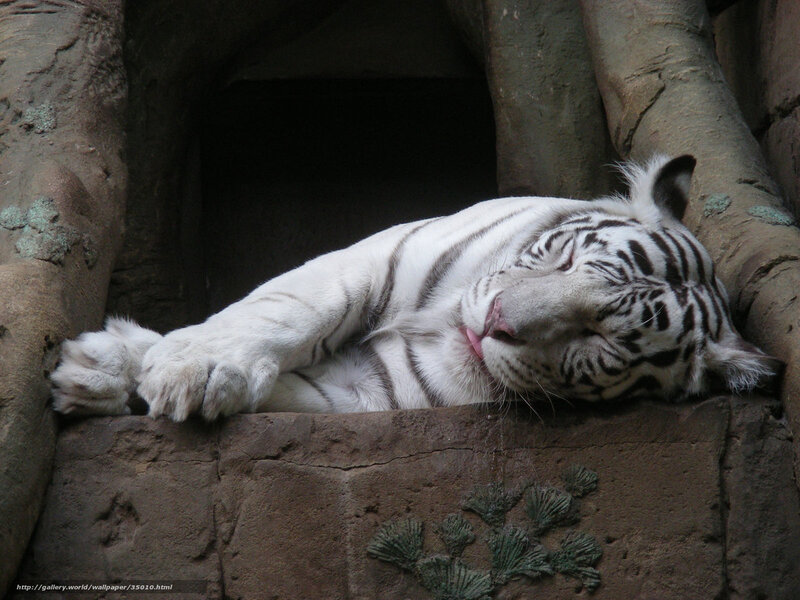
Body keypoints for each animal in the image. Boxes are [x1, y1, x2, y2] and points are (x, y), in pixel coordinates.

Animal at [50, 155, 782, 421]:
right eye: (567, 260)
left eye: (598, 337)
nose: (494, 322)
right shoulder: (378, 256)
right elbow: (288, 309)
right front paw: (184, 368)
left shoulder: (367, 392)